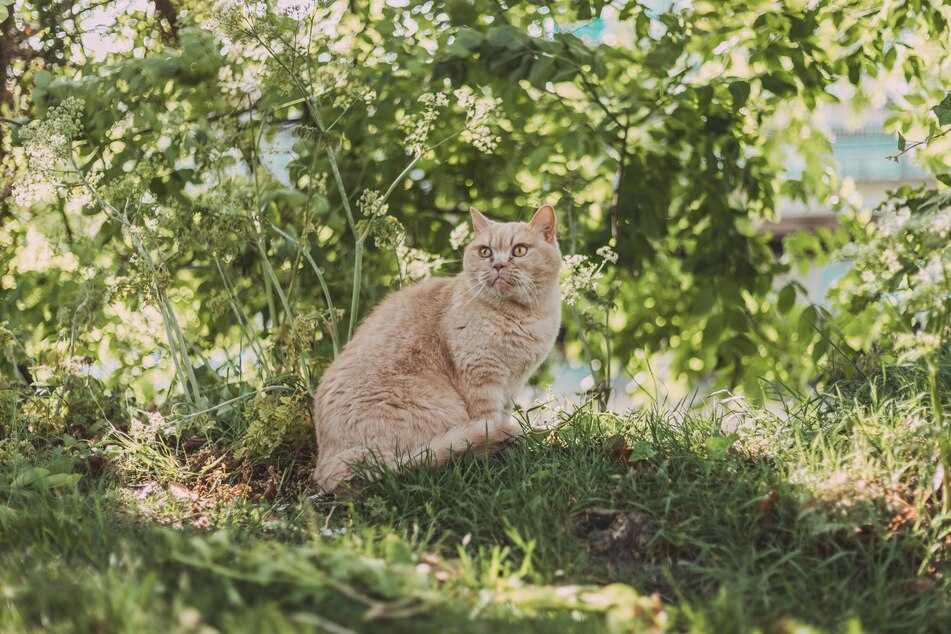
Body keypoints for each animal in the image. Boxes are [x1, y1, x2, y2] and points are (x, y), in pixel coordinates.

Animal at [312, 205, 564, 492]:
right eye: (485, 252)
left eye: (519, 250)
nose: (498, 265)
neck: (523, 316)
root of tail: (325, 467)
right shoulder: (481, 376)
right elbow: (490, 420)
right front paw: (501, 456)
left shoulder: (512, 384)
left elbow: (503, 414)